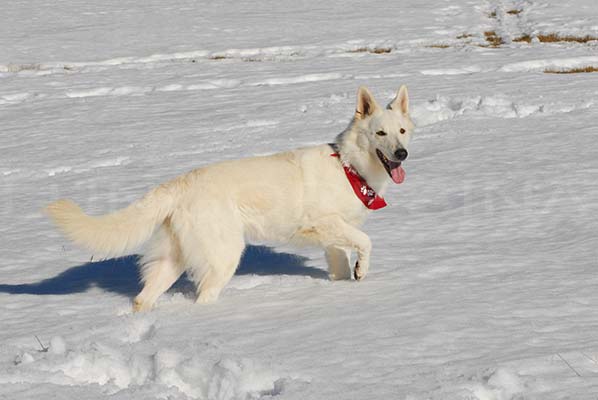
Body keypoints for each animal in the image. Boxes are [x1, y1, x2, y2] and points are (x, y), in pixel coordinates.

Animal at [47, 86, 414, 310]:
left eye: (402, 131)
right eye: (380, 133)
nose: (402, 154)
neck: (349, 168)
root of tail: (180, 183)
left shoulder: (333, 238)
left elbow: (340, 263)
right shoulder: (325, 224)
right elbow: (365, 242)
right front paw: (362, 271)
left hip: (173, 260)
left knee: (142, 299)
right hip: (224, 256)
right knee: (204, 297)